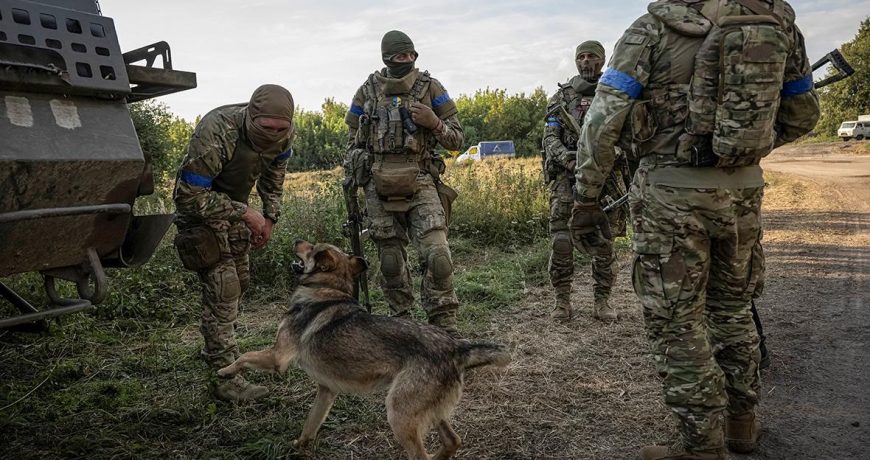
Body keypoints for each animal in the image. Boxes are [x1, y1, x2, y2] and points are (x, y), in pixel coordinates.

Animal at [218, 241, 516, 460]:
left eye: (310, 247)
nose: (296, 240)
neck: (326, 289)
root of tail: (456, 347)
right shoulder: (327, 391)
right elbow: (310, 426)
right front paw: (300, 447)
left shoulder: (277, 357)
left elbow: (244, 357)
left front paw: (224, 372)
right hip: (429, 411)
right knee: (453, 441)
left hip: (398, 414)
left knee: (422, 454)